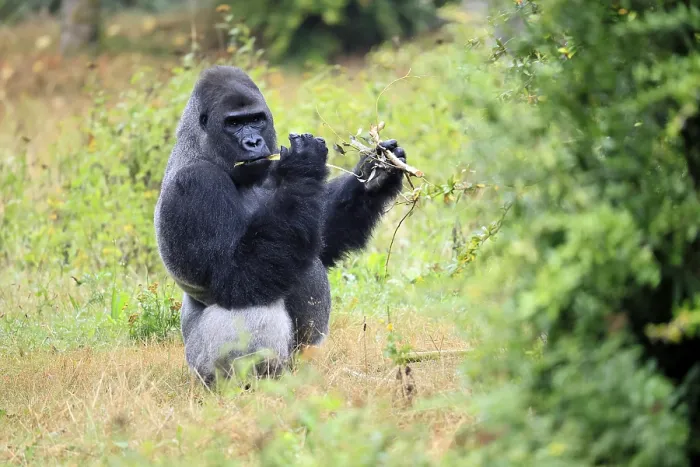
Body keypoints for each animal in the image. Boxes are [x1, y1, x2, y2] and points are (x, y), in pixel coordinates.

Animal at [154, 65, 407, 384]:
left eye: (256, 120)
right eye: (233, 123)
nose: (252, 143)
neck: (204, 148)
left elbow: (319, 238)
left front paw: (376, 174)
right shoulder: (196, 184)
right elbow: (233, 276)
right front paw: (305, 161)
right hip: (200, 368)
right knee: (252, 307)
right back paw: (253, 382)